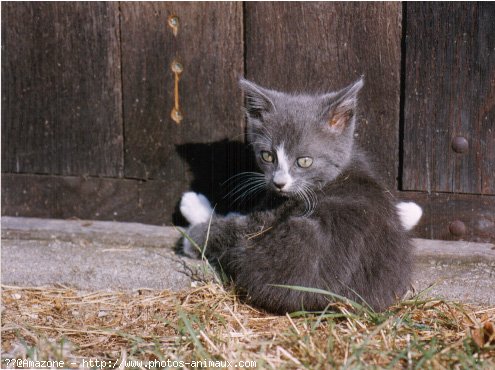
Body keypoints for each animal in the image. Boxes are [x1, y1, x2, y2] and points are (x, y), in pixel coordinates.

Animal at [178, 78, 422, 312]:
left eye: (304, 161)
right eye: (267, 156)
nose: (279, 183)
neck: (336, 173)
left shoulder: (262, 222)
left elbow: (230, 227)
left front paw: (193, 222)